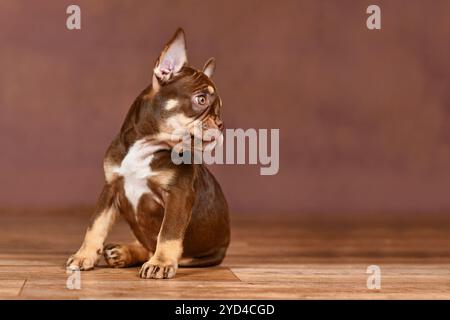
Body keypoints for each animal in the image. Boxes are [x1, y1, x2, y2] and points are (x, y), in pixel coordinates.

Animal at [67, 28, 230, 278]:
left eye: (219, 109)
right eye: (201, 100)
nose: (220, 124)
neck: (147, 145)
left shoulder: (178, 195)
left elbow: (168, 233)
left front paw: (161, 263)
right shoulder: (110, 188)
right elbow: (95, 225)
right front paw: (84, 256)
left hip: (199, 255)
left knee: (163, 249)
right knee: (145, 245)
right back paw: (122, 252)